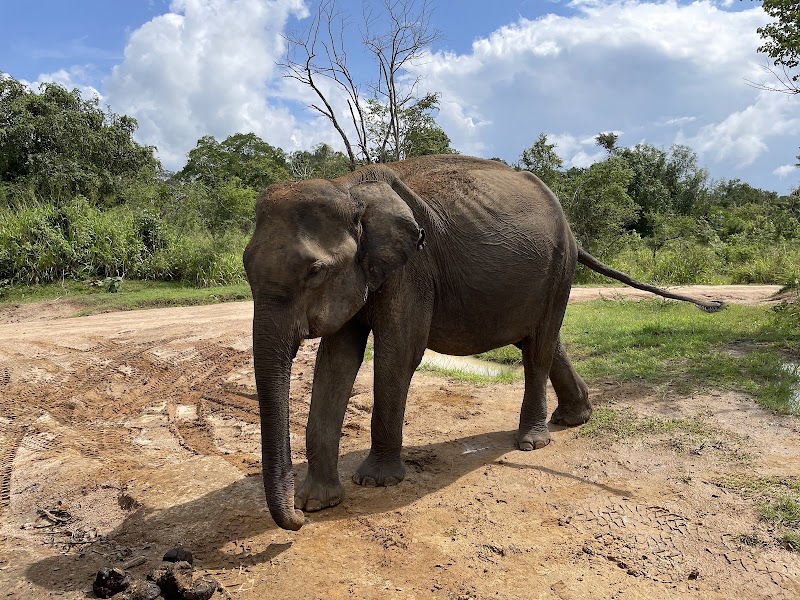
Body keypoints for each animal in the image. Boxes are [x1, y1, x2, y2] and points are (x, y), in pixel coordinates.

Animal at [242, 154, 722, 531]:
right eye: (245, 267)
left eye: (314, 271)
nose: (294, 524)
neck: (349, 187)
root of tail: (573, 233)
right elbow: (337, 360)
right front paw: (316, 503)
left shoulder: (412, 269)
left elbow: (400, 352)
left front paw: (375, 483)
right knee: (543, 340)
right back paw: (575, 419)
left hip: (559, 267)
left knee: (538, 347)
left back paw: (532, 441)